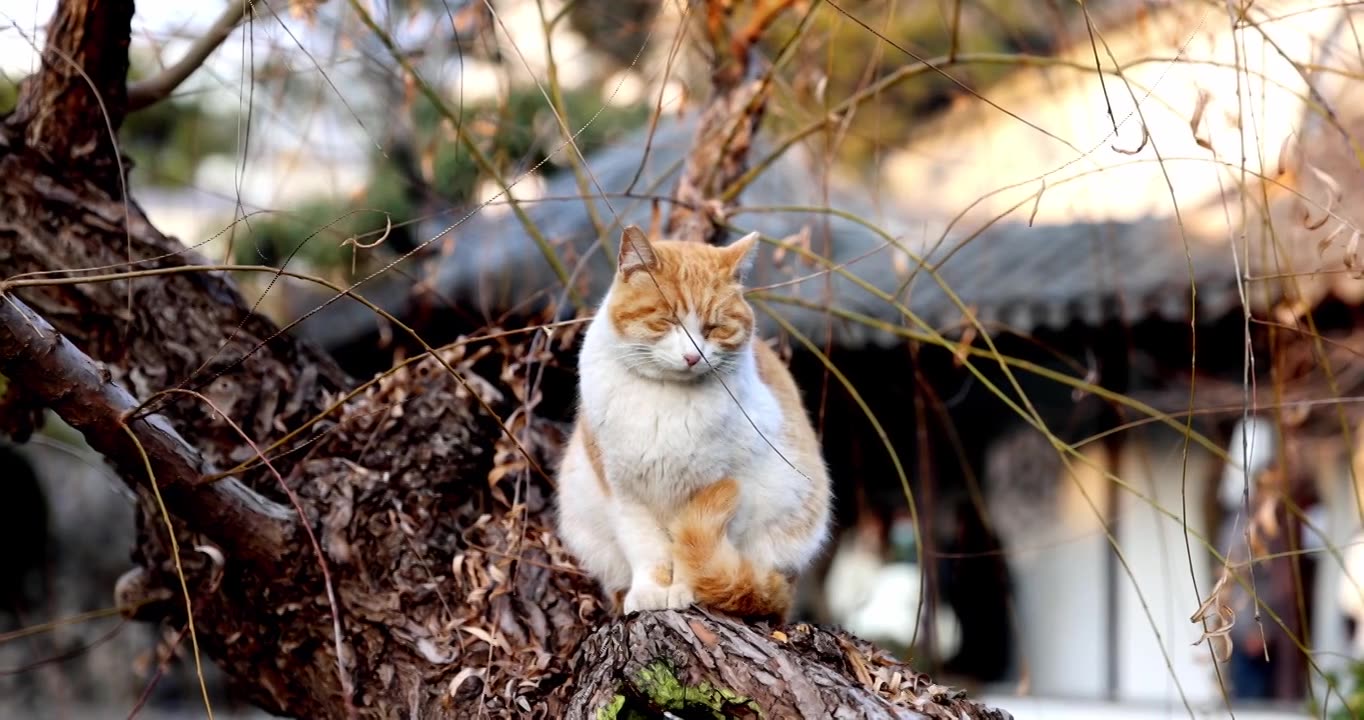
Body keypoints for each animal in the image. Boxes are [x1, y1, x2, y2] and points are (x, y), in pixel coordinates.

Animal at [553, 226, 829, 619]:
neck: (665, 401)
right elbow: (646, 550)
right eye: (667, 320)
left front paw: (686, 589)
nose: (691, 356)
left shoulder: (728, 485)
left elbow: (693, 552)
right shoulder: (623, 493)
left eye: (714, 328)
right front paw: (650, 592)